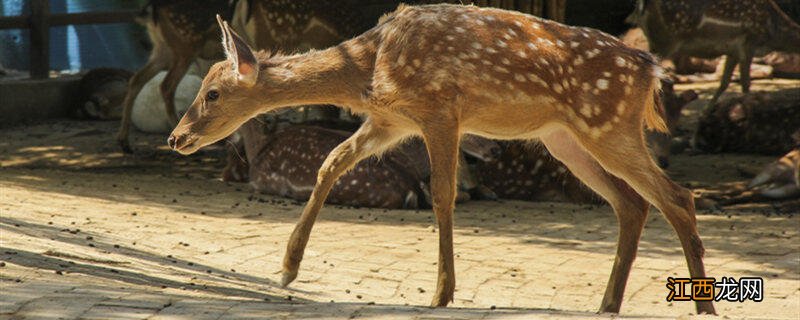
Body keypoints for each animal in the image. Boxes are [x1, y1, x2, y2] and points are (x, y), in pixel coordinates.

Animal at [170, 5, 720, 316]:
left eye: (212, 93)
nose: (177, 138)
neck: (368, 67)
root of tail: (650, 70)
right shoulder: (390, 121)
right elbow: (330, 161)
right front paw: (286, 269)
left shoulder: (440, 108)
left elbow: (442, 195)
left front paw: (442, 293)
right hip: (565, 137)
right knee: (633, 203)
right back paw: (608, 302)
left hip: (607, 125)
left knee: (677, 195)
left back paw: (701, 302)